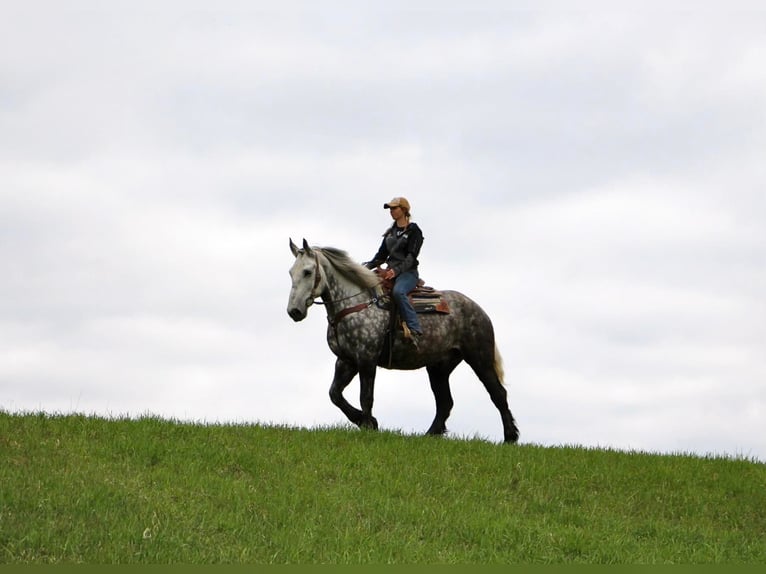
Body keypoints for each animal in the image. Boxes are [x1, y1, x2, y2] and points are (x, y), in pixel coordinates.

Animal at [288, 238, 520, 446]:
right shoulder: (346, 361)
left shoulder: (366, 360)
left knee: (498, 393)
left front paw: (369, 425)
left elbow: (366, 396)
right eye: (291, 272)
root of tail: (478, 310)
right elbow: (335, 394)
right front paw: (365, 421)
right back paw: (430, 435)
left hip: (479, 358)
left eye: (307, 271)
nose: (294, 311)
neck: (356, 305)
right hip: (439, 367)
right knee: (445, 402)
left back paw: (510, 436)